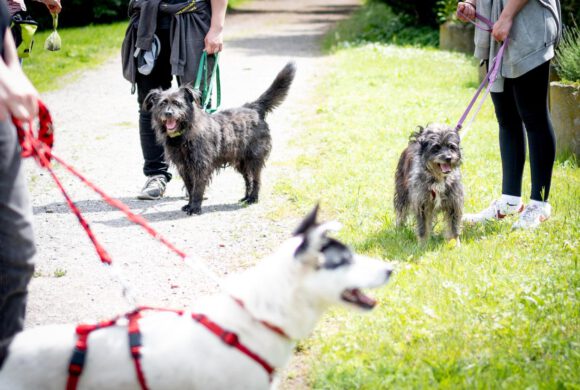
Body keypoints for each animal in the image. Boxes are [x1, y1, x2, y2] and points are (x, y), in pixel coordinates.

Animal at [140, 63, 294, 216]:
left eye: (177, 103)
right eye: (162, 103)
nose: (168, 113)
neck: (184, 134)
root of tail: (254, 108)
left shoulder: (200, 166)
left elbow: (197, 188)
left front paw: (195, 207)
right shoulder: (184, 167)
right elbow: (190, 187)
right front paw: (189, 204)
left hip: (253, 159)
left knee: (256, 179)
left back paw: (253, 198)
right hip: (241, 162)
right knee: (248, 179)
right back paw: (246, 197)